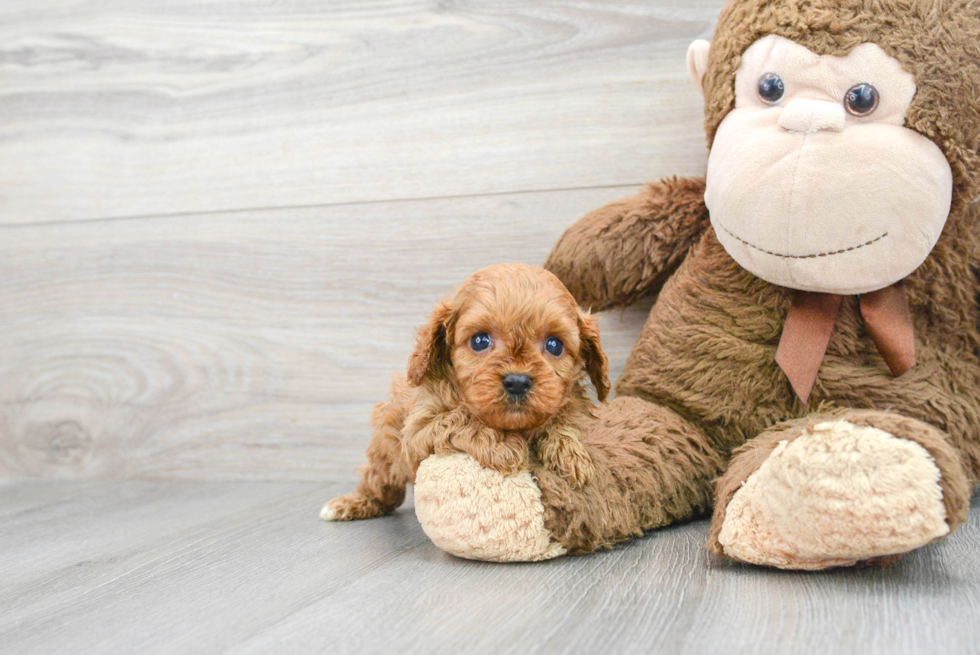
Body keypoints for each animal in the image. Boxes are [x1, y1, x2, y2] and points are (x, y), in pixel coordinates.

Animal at [326, 262, 608, 524]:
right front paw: (503, 445)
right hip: (385, 443)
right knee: (381, 485)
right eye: (480, 341)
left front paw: (570, 454)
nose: (517, 382)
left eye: (554, 345)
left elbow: (563, 419)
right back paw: (350, 504)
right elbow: (460, 416)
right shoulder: (417, 431)